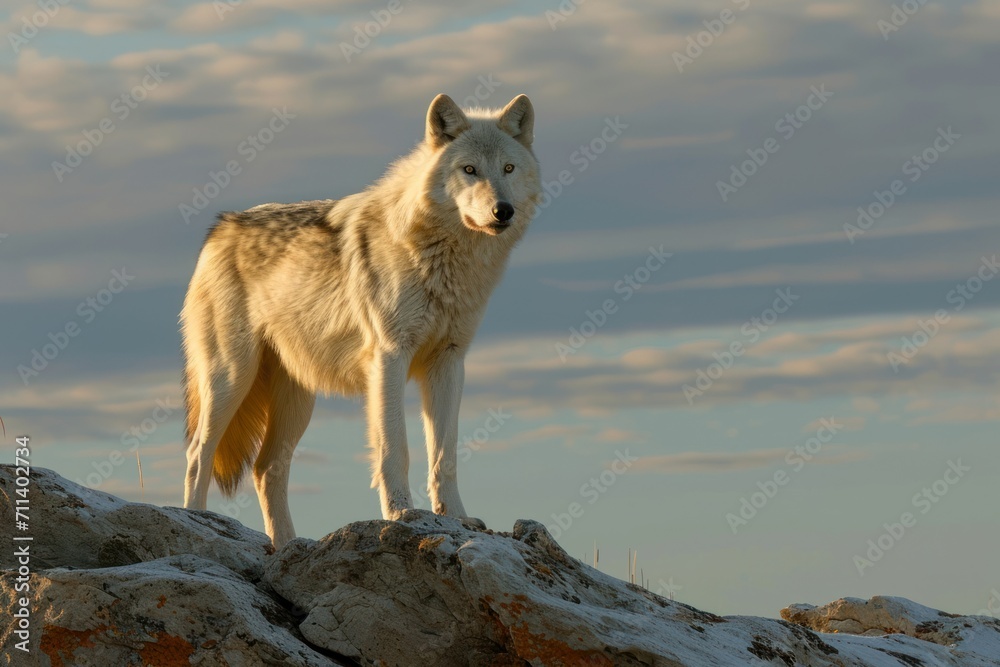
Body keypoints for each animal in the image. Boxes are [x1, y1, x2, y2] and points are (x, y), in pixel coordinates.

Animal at [181, 94, 540, 547]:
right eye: (469, 169)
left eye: (508, 168)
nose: (502, 211)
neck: (444, 258)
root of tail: (220, 227)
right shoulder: (389, 358)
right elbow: (395, 449)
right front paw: (402, 513)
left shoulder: (448, 361)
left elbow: (445, 454)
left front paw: (458, 518)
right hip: (231, 378)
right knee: (198, 454)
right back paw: (196, 521)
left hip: (297, 400)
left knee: (266, 470)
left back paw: (287, 547)